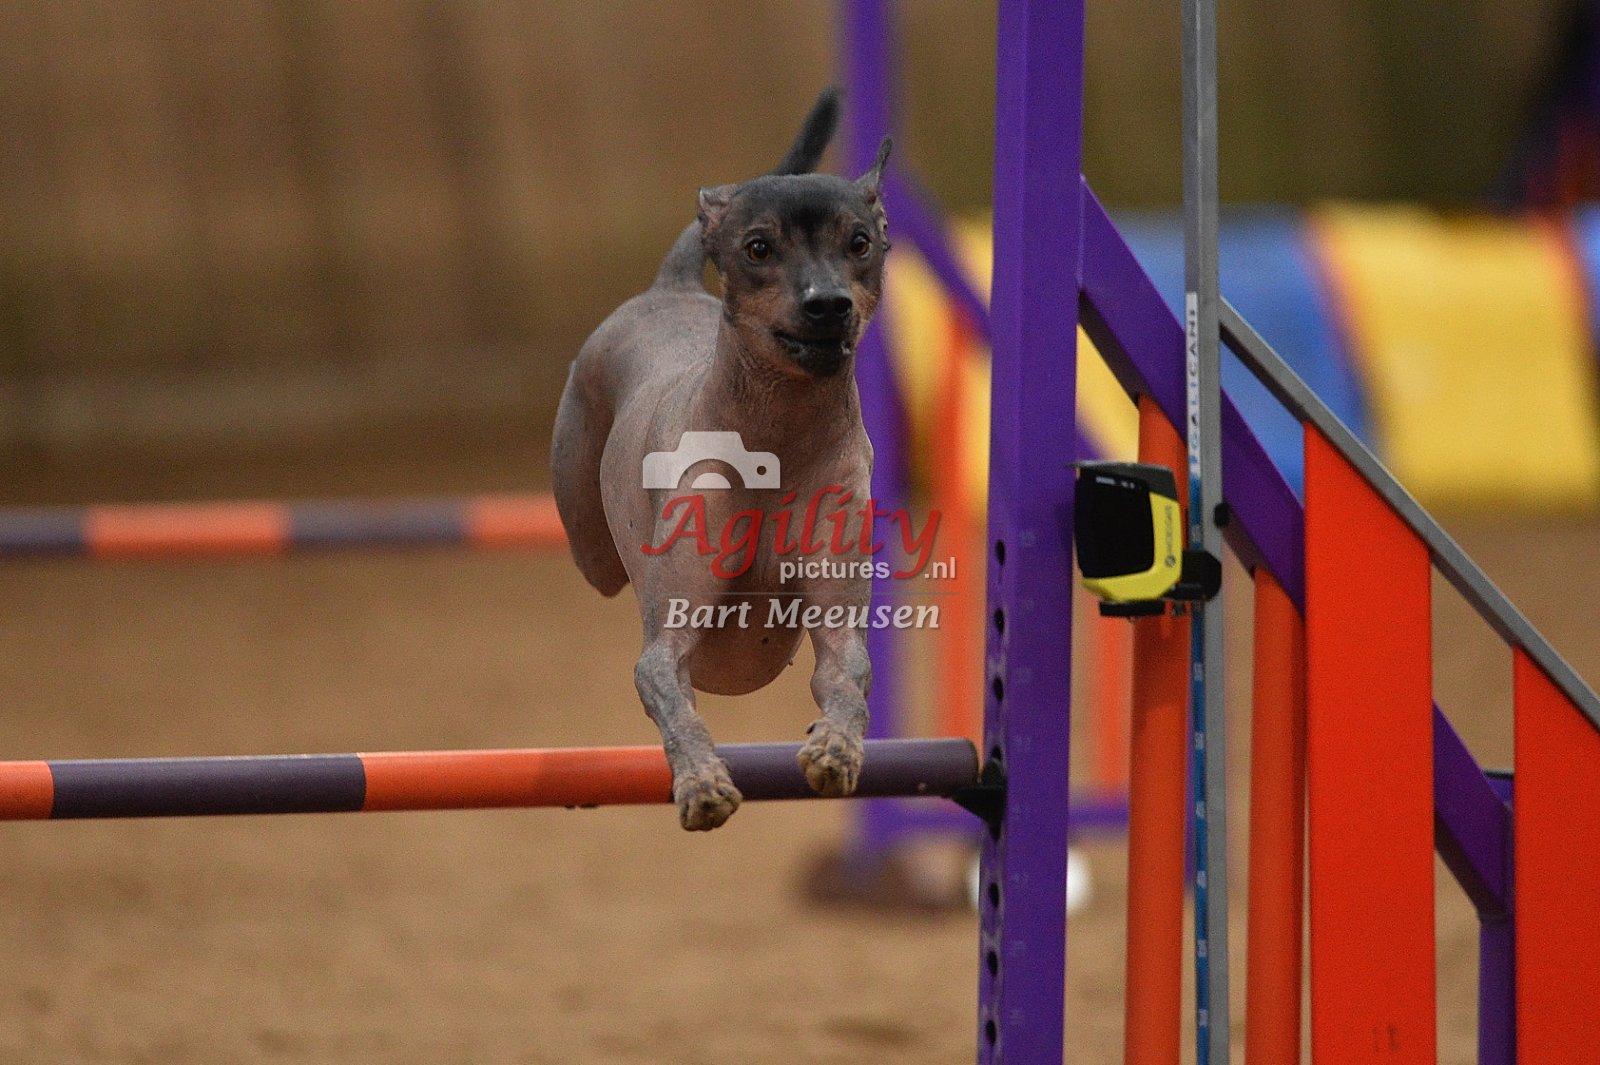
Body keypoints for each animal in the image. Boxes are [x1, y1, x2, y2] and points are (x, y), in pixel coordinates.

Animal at [552, 89, 892, 830]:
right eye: (758, 247)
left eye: (859, 241)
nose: (828, 304)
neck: (778, 439)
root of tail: (669, 286)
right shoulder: (666, 645)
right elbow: (671, 696)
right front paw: (701, 781)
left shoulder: (837, 623)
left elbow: (848, 678)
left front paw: (836, 749)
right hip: (589, 543)